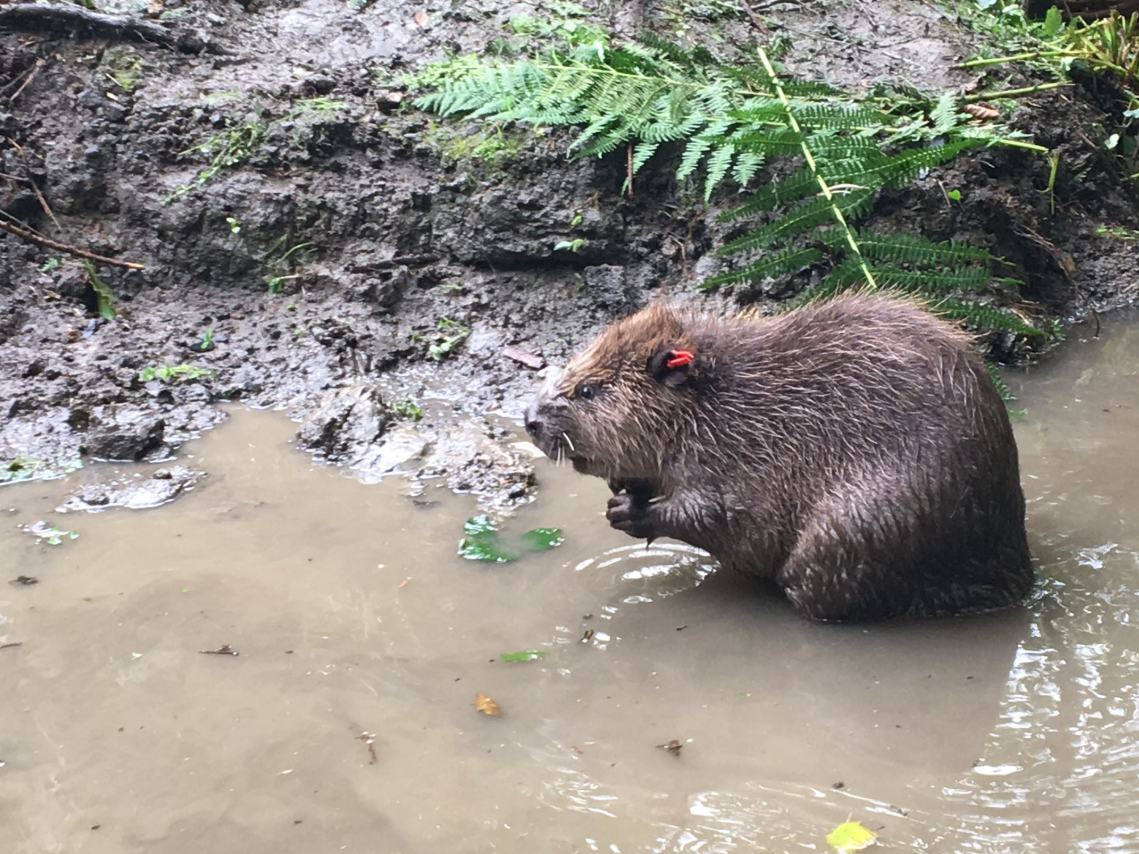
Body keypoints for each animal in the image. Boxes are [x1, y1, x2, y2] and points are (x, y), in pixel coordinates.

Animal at [523, 293, 1034, 623]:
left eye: (588, 391)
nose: (529, 418)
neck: (715, 402)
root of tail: (1020, 578)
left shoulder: (736, 454)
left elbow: (719, 514)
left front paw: (627, 509)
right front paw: (625, 487)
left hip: (856, 530)